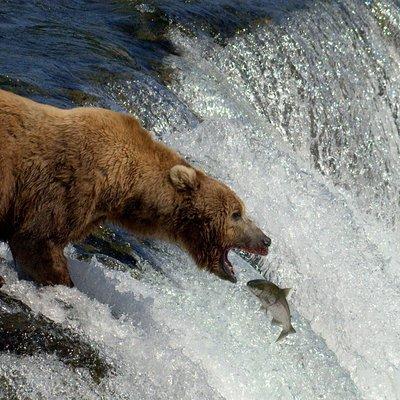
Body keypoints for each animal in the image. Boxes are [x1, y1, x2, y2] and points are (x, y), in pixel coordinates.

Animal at [0, 89, 272, 286]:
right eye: (236, 214)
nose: (266, 239)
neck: (122, 185)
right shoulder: (68, 186)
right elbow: (37, 241)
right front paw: (63, 283)